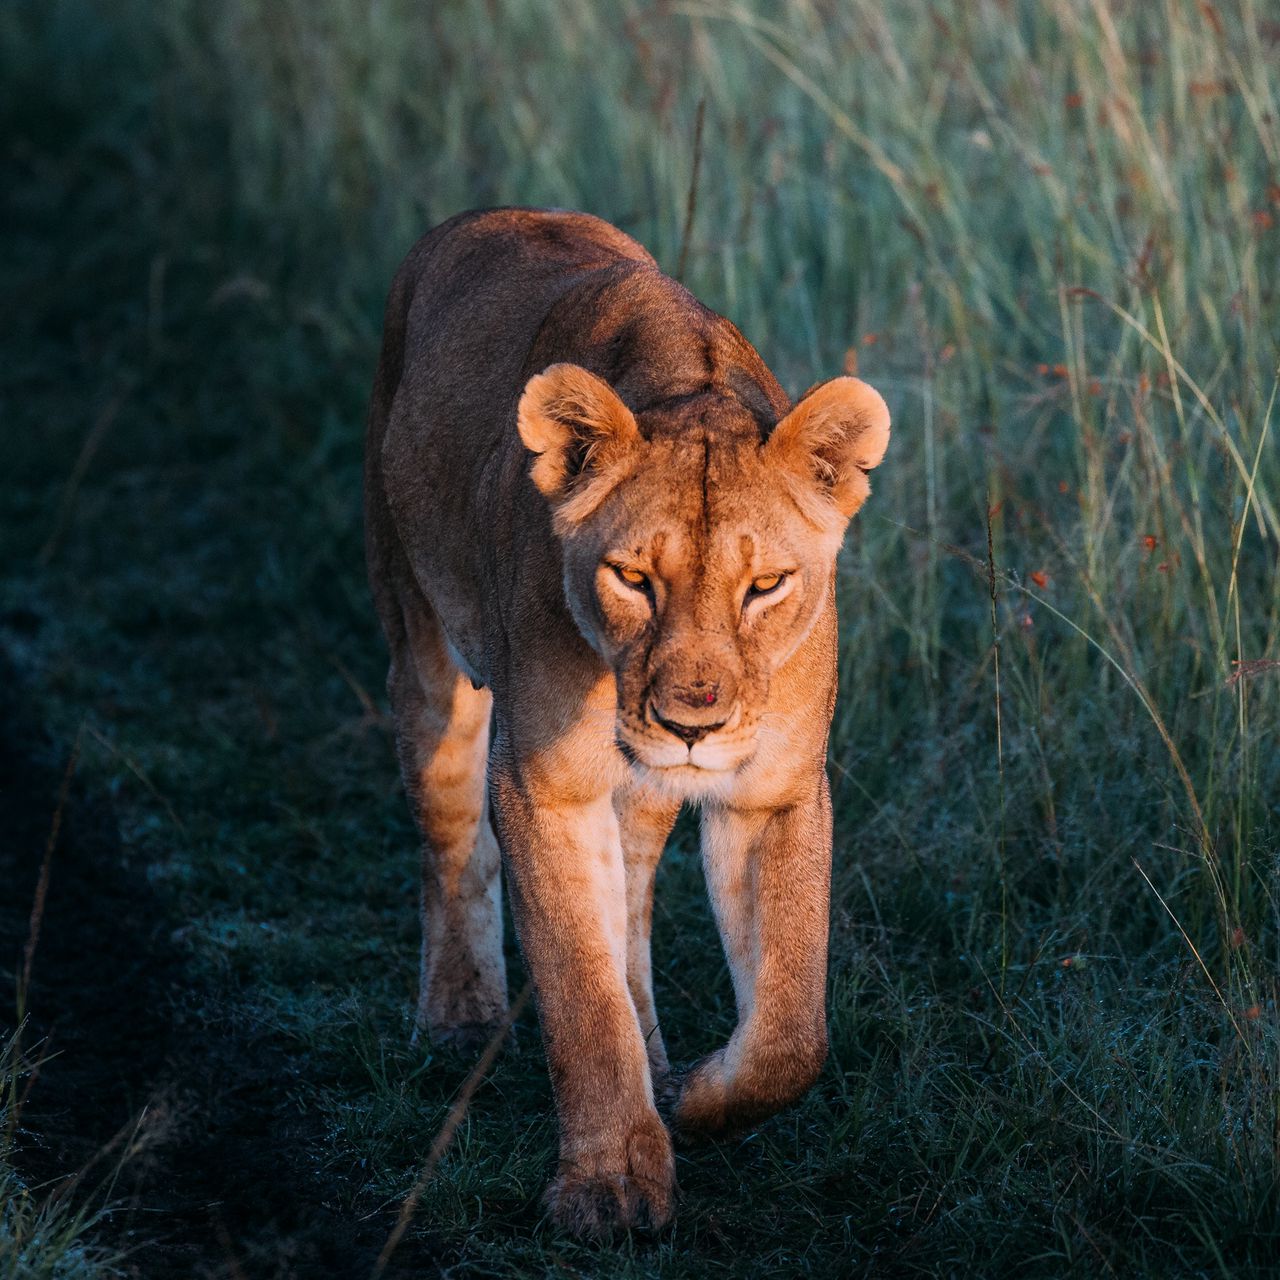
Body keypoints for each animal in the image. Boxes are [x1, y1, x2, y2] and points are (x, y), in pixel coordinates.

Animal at [364, 207, 890, 1237]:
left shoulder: (773, 793)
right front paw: (608, 1184)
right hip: (421, 637)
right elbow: (580, 991)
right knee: (450, 839)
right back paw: (458, 1011)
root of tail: (478, 218)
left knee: (634, 905)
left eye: (767, 584)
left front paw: (698, 1097)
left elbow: (790, 1029)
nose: (692, 725)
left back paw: (656, 1058)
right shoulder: (542, 788)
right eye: (633, 578)